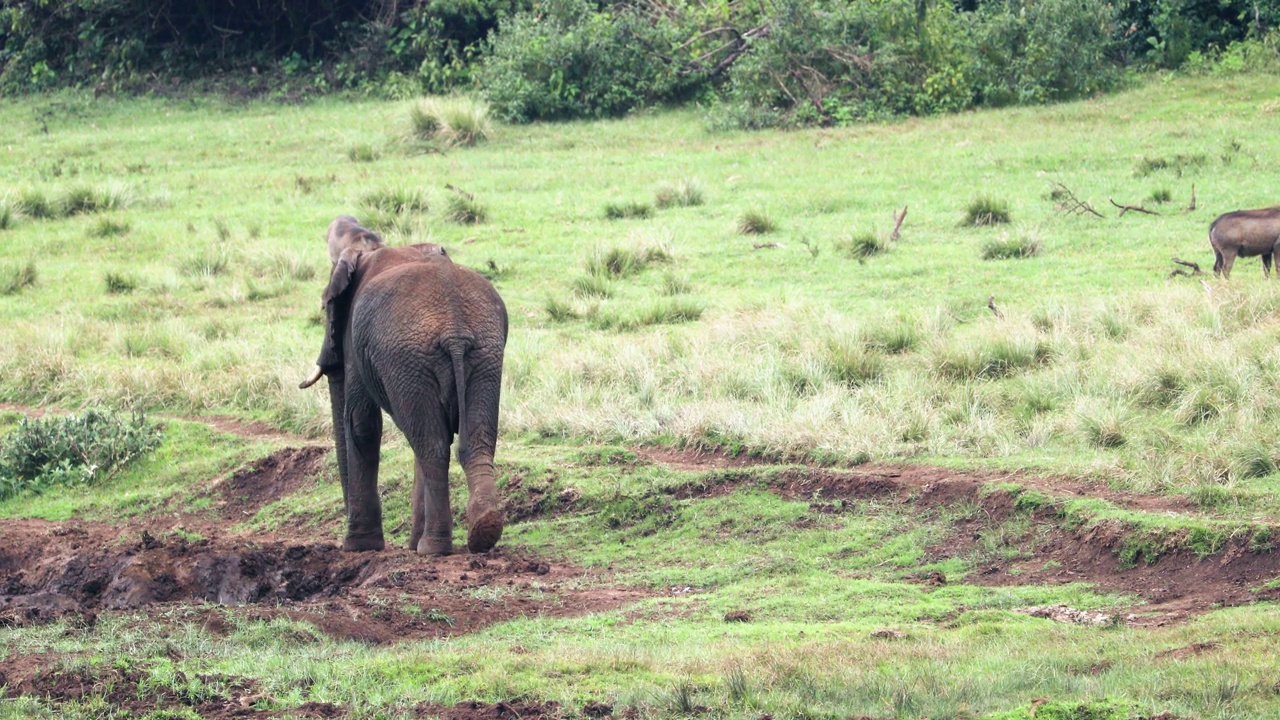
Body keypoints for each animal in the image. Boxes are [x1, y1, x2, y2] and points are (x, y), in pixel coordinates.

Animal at [299, 235, 504, 556]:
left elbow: (361, 424)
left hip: (409, 359)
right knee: (472, 440)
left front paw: (360, 546)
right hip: (483, 355)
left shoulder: (355, 344)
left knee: (431, 445)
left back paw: (433, 548)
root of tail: (454, 329)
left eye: (326, 307)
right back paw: (483, 531)